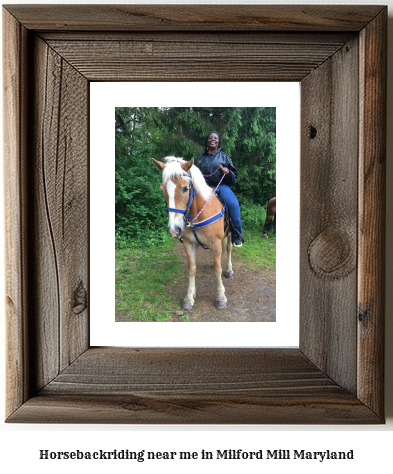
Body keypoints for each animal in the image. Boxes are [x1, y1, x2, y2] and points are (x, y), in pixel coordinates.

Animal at [152, 156, 233, 312]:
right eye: (162, 189)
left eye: (185, 188)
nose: (174, 229)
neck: (198, 214)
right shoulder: (189, 244)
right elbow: (191, 269)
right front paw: (189, 297)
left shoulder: (216, 243)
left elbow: (217, 269)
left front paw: (221, 298)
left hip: (230, 235)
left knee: (229, 250)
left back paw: (230, 270)